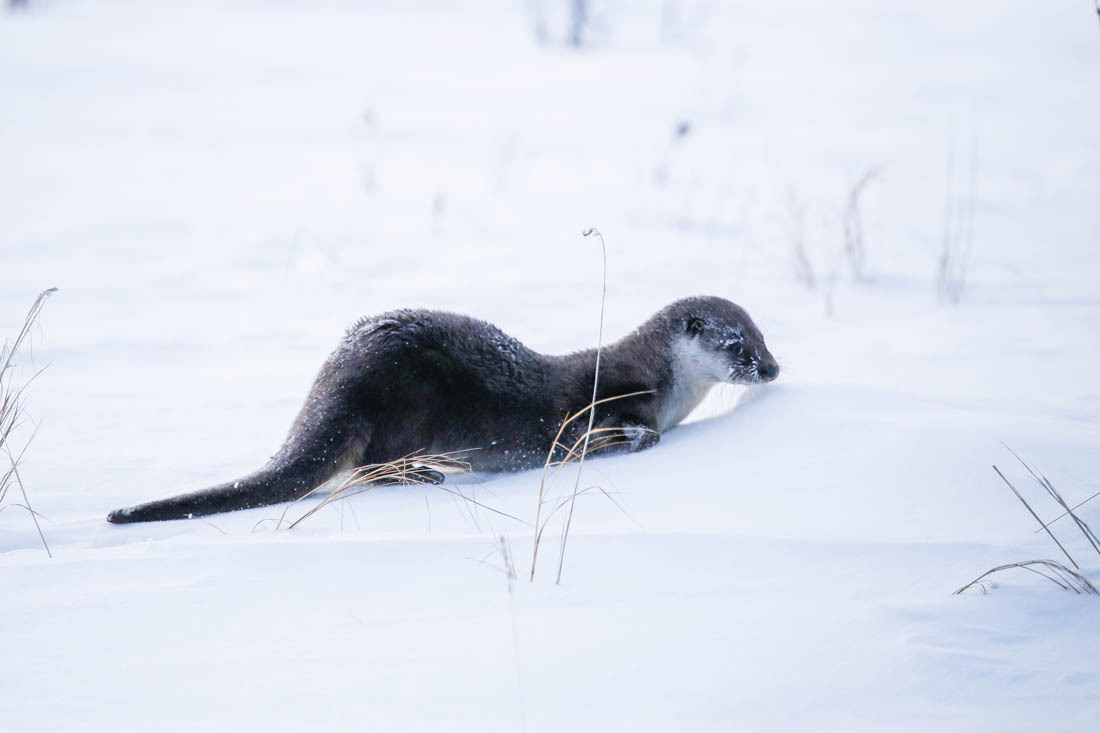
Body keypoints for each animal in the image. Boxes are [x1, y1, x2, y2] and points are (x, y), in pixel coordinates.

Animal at [103, 294, 774, 521]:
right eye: (736, 345)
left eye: (764, 337)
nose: (770, 368)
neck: (667, 385)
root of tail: (336, 378)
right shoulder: (611, 397)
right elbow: (622, 432)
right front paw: (625, 443)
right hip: (407, 407)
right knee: (364, 466)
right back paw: (424, 474)